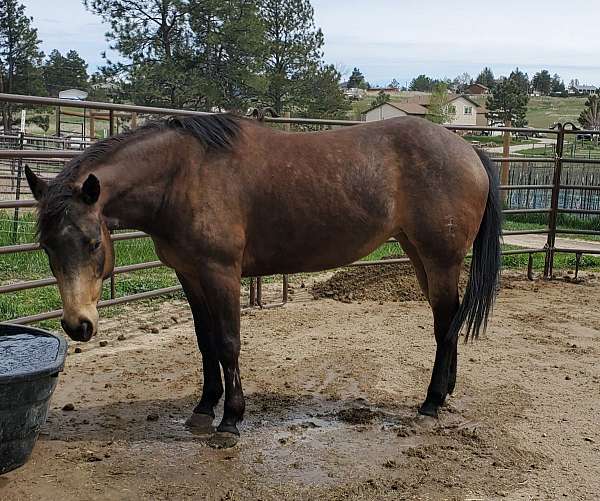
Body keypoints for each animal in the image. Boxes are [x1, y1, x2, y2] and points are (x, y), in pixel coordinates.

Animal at [24, 115, 502, 448]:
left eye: (91, 242)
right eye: (46, 245)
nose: (78, 325)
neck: (184, 175)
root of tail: (469, 150)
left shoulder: (221, 273)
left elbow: (228, 344)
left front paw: (231, 421)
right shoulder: (189, 274)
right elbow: (205, 342)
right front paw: (204, 409)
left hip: (440, 259)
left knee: (445, 324)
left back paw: (431, 402)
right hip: (418, 254)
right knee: (447, 321)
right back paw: (444, 393)